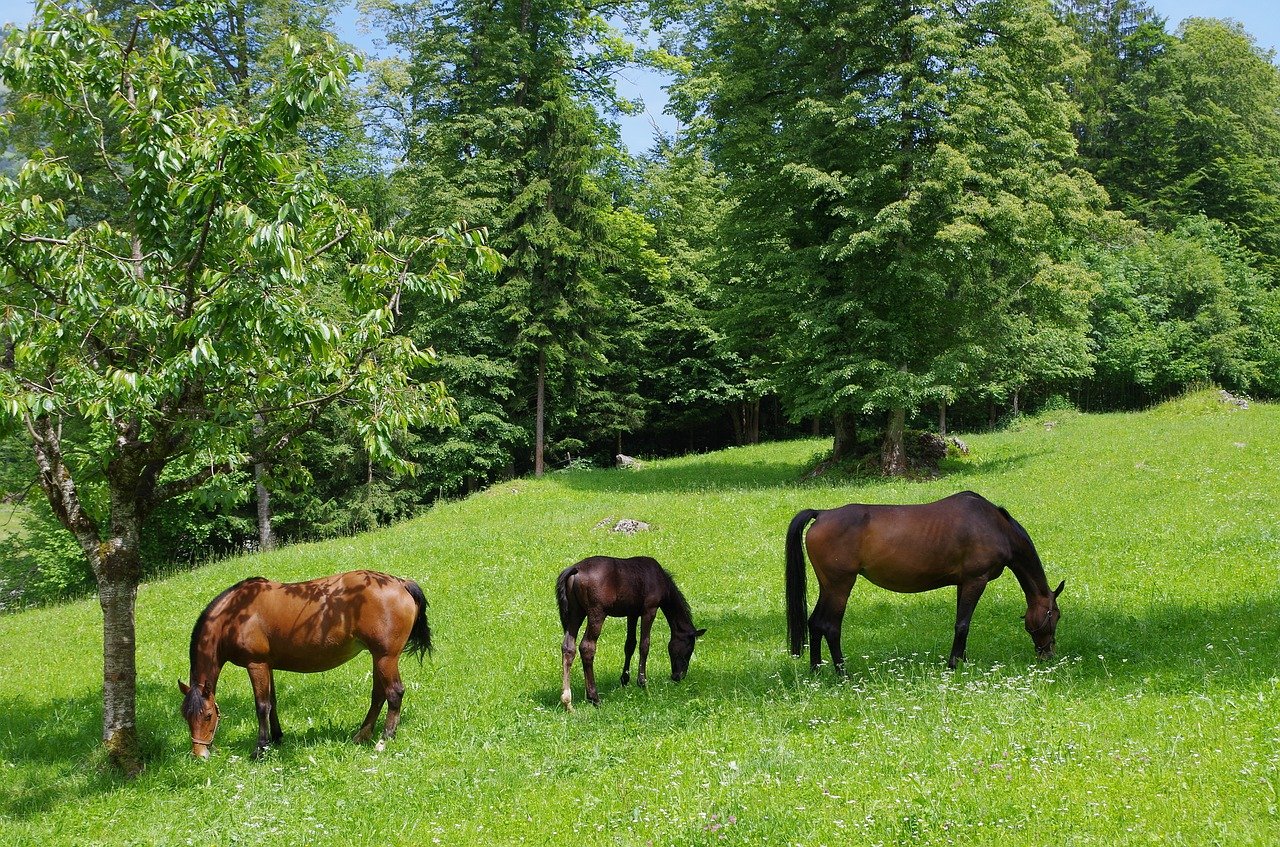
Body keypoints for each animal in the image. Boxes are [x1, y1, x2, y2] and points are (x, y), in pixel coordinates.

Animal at [177, 573, 432, 757]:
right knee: (378, 695)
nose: (199, 754)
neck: (234, 615)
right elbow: (272, 702)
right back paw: (362, 735)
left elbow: (261, 706)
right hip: (378, 658)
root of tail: (400, 583)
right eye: (185, 717)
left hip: (386, 657)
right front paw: (277, 738)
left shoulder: (256, 664)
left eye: (208, 715)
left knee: (394, 693)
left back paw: (385, 739)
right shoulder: (268, 665)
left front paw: (260, 748)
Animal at [555, 557, 706, 711]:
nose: (678, 676)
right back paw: (594, 698)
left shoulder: (632, 613)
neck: (659, 577)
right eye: (689, 649)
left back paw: (567, 702)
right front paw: (642, 682)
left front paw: (625, 680)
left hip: (576, 614)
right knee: (587, 647)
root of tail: (576, 569)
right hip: (596, 614)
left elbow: (630, 645)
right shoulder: (649, 611)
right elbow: (644, 645)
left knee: (568, 648)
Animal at [783, 493, 1064, 675]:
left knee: (814, 623)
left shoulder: (963, 583)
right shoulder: (976, 580)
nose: (1048, 654)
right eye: (1055, 615)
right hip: (840, 586)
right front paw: (953, 665)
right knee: (830, 626)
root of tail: (822, 515)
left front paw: (962, 660)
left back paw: (816, 670)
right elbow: (963, 624)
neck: (994, 525)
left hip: (828, 587)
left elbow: (962, 623)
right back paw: (843, 674)